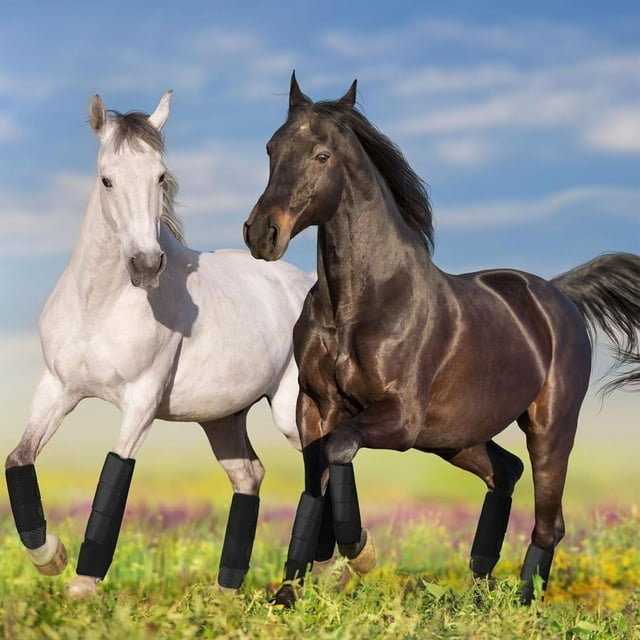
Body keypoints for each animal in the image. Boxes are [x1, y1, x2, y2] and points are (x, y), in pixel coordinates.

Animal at [5, 91, 314, 598]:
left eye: (160, 177)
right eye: (107, 179)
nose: (146, 265)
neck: (100, 306)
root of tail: (306, 282)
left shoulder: (141, 401)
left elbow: (115, 472)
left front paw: (83, 583)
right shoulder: (57, 389)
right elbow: (18, 459)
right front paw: (51, 557)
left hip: (292, 411)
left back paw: (328, 571)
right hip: (222, 419)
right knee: (250, 475)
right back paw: (226, 592)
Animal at [243, 73, 640, 606]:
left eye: (322, 155)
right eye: (271, 148)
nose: (262, 233)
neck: (359, 304)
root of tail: (559, 294)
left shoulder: (399, 418)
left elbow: (340, 450)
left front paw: (358, 550)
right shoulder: (316, 406)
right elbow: (314, 482)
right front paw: (290, 592)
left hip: (550, 427)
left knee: (549, 522)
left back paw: (521, 604)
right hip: (453, 437)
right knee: (505, 472)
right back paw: (479, 591)